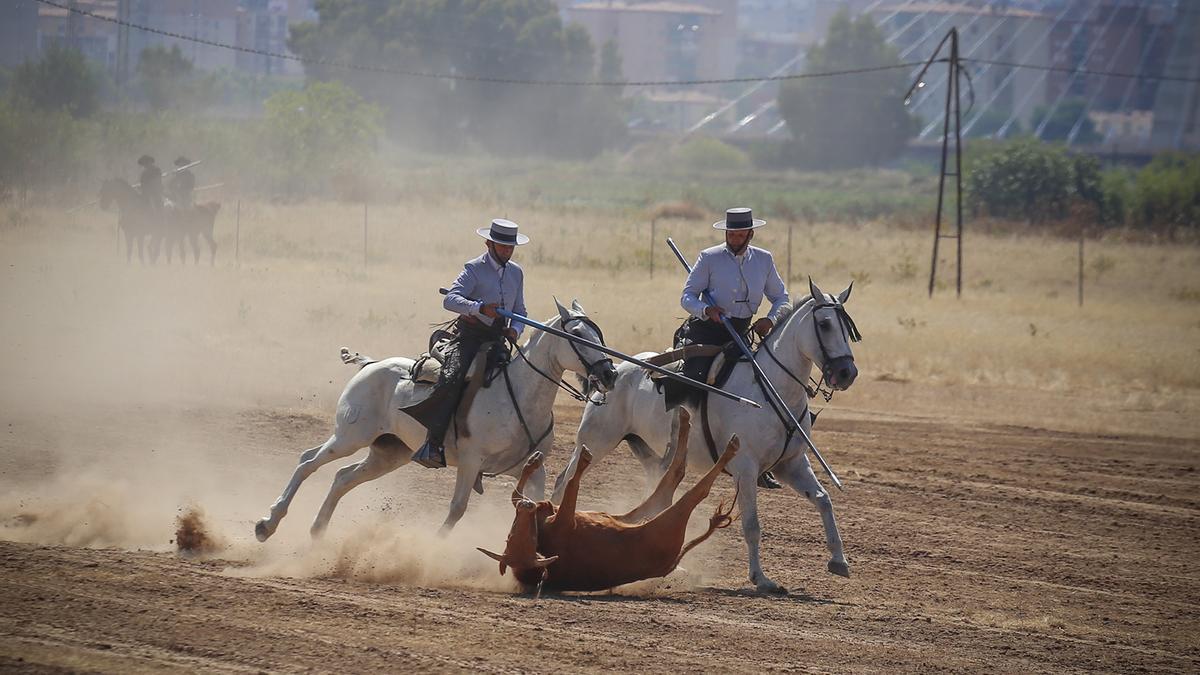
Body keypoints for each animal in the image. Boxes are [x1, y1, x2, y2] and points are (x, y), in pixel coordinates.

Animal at [253, 296, 619, 538]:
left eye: (599, 334)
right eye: (578, 336)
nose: (610, 374)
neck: (517, 395)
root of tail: (370, 364)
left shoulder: (532, 465)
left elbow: (536, 503)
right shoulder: (471, 461)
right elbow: (457, 509)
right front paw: (436, 545)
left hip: (389, 452)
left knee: (343, 477)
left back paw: (317, 530)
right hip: (349, 435)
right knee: (308, 461)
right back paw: (267, 523)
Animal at [480, 408, 739, 590]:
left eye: (510, 537)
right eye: (520, 540)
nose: (528, 507)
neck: (544, 535)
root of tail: (671, 563)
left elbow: (516, 493)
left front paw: (533, 462)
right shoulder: (564, 520)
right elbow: (571, 484)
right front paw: (584, 458)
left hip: (646, 510)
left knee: (672, 477)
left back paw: (683, 420)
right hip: (669, 518)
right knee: (694, 489)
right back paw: (728, 447)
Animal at [556, 277, 859, 588]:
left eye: (847, 327)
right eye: (824, 324)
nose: (846, 372)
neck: (771, 389)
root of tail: (614, 369)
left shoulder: (792, 464)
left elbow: (824, 500)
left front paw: (839, 561)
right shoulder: (745, 468)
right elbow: (752, 524)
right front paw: (761, 578)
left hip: (648, 453)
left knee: (655, 495)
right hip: (595, 441)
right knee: (564, 480)